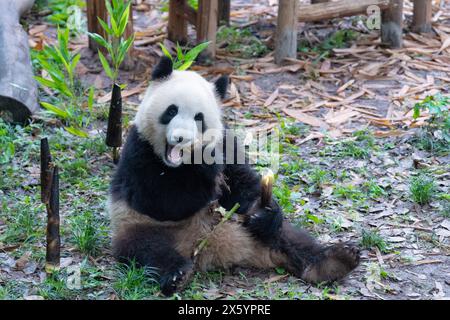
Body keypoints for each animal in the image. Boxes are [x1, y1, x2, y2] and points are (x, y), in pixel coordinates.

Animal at [107, 57, 360, 296]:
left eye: (199, 118)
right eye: (171, 111)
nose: (181, 138)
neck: (179, 164)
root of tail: (212, 247)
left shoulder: (226, 142)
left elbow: (243, 182)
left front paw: (261, 208)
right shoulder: (139, 151)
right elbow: (161, 200)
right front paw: (206, 176)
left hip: (243, 224)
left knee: (288, 236)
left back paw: (335, 261)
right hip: (138, 227)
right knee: (149, 250)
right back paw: (176, 275)